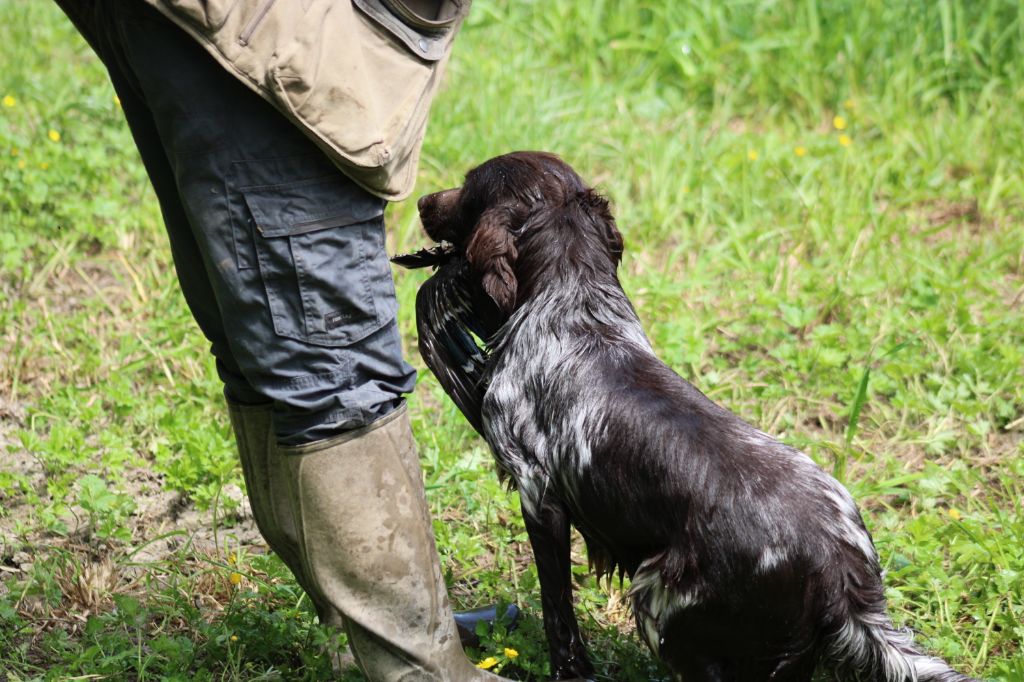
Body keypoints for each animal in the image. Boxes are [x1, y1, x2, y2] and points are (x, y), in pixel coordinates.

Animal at [391, 151, 974, 675]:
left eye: (469, 185)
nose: (419, 200)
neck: (572, 307)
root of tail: (845, 575)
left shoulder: (540, 497)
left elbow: (560, 619)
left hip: (658, 600)